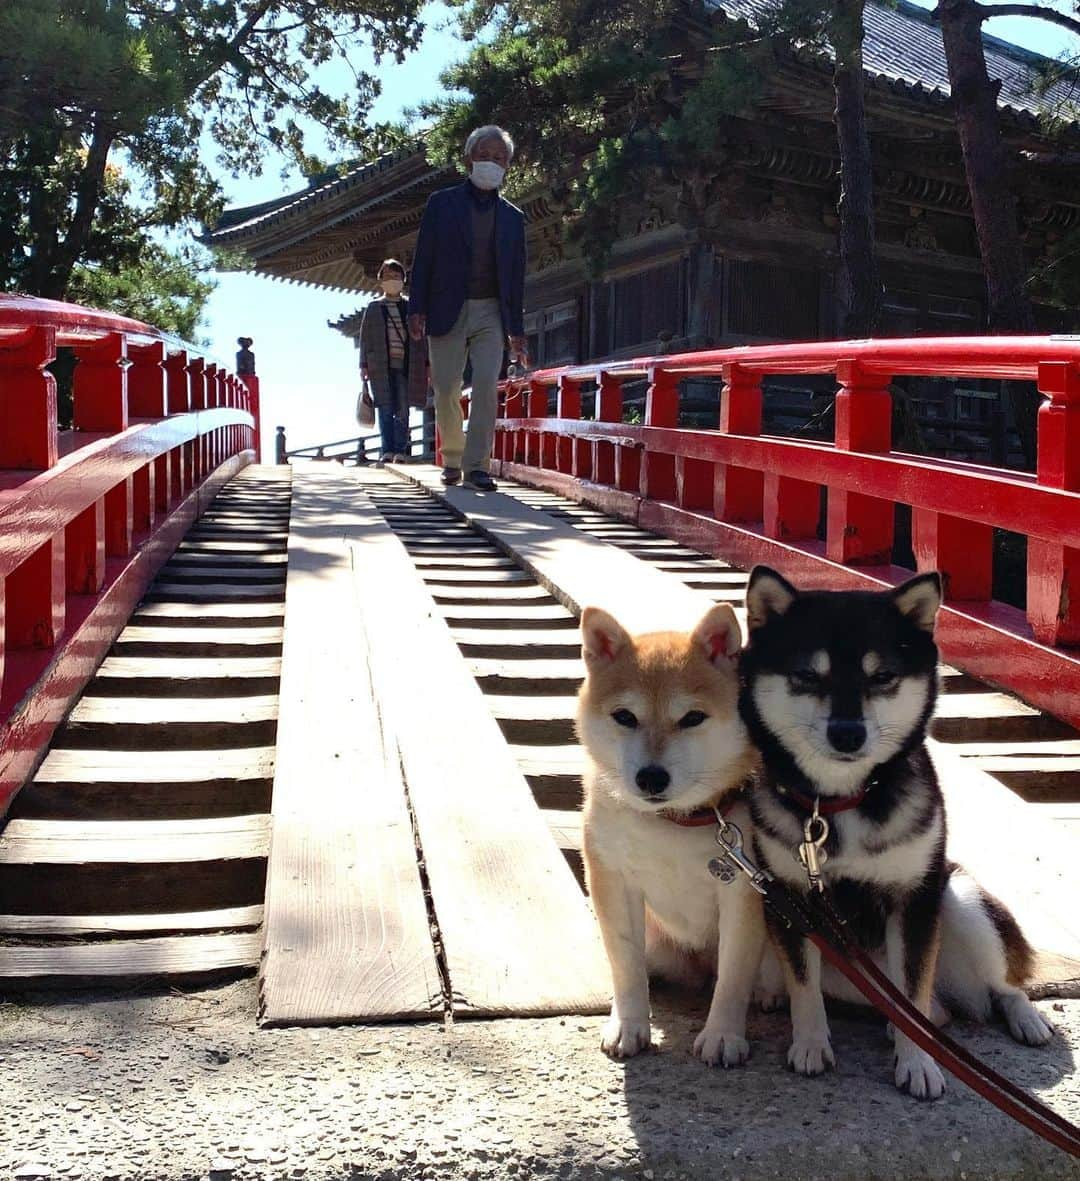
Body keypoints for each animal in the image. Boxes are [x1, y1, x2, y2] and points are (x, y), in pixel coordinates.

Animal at [576, 599, 770, 1062]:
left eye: (692, 718)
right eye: (625, 717)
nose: (651, 777)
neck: (674, 821)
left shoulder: (743, 893)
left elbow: (733, 977)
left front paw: (722, 1034)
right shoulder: (613, 880)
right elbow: (626, 966)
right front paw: (629, 1025)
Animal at [737, 562, 1049, 1095]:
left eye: (881, 676)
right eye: (806, 676)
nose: (847, 733)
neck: (837, 804)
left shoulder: (915, 896)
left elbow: (912, 992)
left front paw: (918, 1063)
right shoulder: (791, 897)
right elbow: (803, 983)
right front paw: (811, 1044)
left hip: (960, 899)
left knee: (991, 987)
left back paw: (1024, 1017)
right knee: (927, 1009)